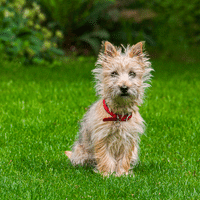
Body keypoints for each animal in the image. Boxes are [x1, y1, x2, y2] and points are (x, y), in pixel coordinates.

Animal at [65, 41, 152, 176]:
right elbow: (105, 157)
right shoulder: (102, 138)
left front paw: (122, 174)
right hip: (81, 154)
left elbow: (124, 159)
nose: (124, 87)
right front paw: (107, 174)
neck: (118, 115)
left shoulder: (128, 139)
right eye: (114, 73)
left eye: (132, 73)